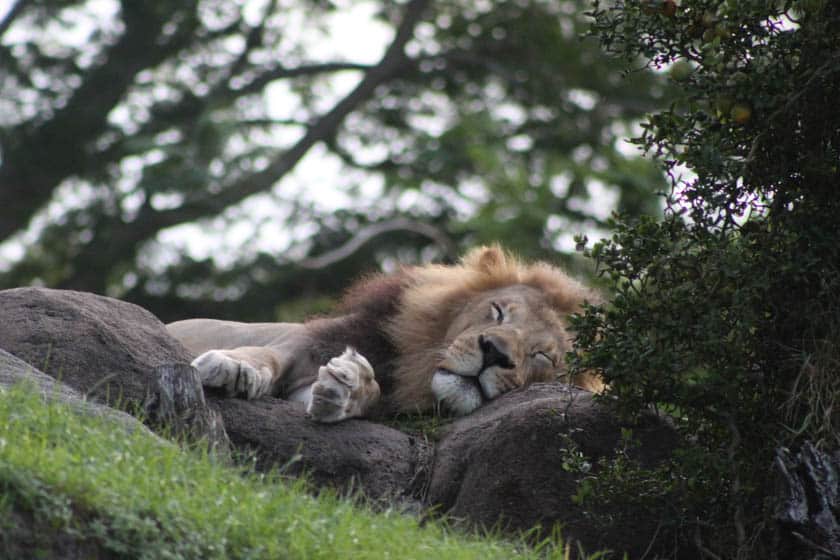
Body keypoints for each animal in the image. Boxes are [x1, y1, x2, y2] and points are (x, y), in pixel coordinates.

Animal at [166, 245, 596, 420]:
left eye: (543, 356)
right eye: (499, 311)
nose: (494, 351)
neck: (409, 367)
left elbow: (364, 396)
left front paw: (346, 388)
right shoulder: (301, 342)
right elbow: (267, 355)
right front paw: (235, 367)